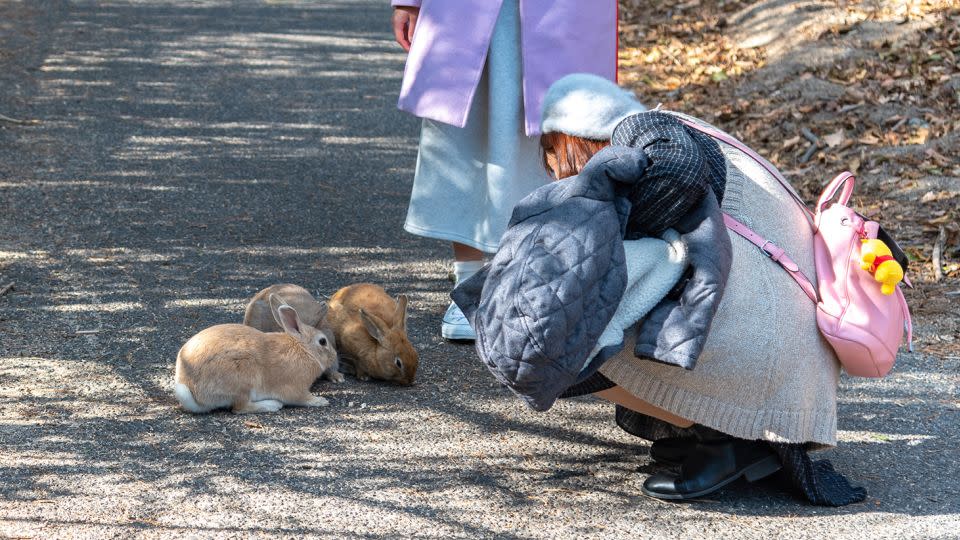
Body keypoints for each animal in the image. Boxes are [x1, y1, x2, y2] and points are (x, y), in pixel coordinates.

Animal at [174, 294, 337, 414]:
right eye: (323, 341)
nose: (334, 356)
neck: (304, 349)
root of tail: (192, 390)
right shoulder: (295, 388)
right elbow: (302, 398)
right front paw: (321, 401)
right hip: (244, 378)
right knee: (240, 408)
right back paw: (273, 405)